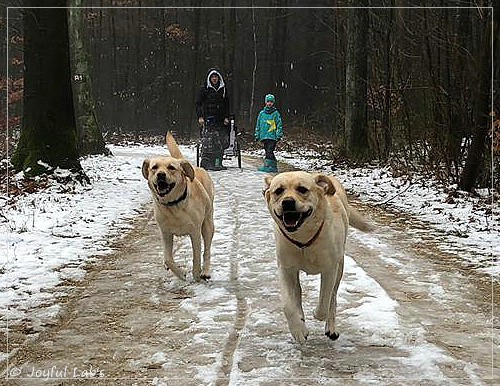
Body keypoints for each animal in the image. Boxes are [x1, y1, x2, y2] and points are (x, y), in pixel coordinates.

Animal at [144, 132, 216, 280]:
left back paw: (205, 271)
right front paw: (181, 274)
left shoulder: (195, 232)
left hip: (208, 224)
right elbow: (168, 258)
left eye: (171, 167)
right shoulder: (165, 232)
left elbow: (196, 257)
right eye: (154, 167)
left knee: (206, 250)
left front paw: (196, 276)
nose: (160, 175)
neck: (174, 205)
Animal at [264, 172, 374, 344]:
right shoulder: (286, 269)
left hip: (340, 266)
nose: (287, 202)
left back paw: (331, 328)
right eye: (278, 191)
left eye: (302, 189)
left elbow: (324, 303)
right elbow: (288, 305)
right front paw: (299, 329)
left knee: (333, 297)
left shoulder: (330, 269)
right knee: (298, 293)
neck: (303, 241)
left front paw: (317, 315)